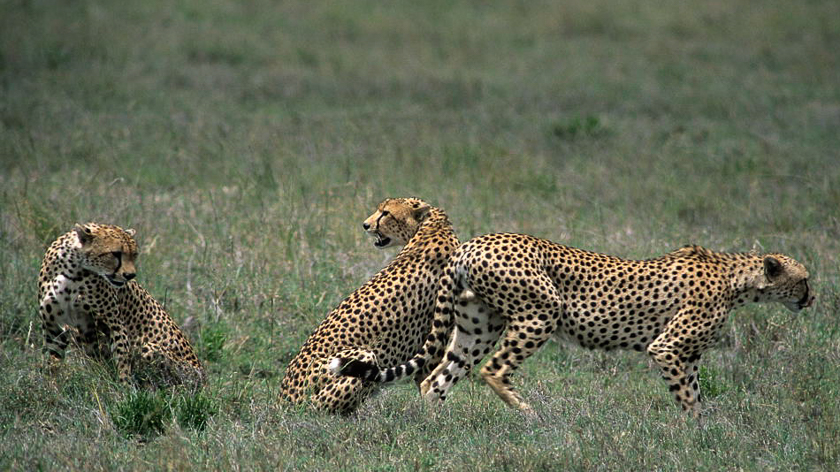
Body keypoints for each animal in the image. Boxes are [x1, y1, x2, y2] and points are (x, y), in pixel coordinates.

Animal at [38, 223, 207, 390]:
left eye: (134, 254)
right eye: (115, 254)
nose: (130, 275)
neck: (73, 271)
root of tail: (205, 381)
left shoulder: (115, 324)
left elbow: (122, 360)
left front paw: (125, 391)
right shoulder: (54, 326)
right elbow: (53, 363)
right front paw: (50, 387)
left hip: (151, 349)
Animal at [278, 198, 456, 412]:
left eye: (386, 213)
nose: (365, 225)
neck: (433, 225)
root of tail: (283, 399)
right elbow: (429, 381)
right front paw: (433, 413)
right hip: (360, 357)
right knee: (317, 408)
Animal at [334, 235, 812, 416]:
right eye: (804, 278)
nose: (812, 298)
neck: (737, 278)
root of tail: (473, 243)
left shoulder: (687, 354)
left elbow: (695, 393)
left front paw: (707, 428)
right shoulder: (669, 349)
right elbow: (689, 398)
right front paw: (696, 433)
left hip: (477, 325)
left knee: (435, 379)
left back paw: (435, 425)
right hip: (541, 311)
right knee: (494, 370)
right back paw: (528, 415)